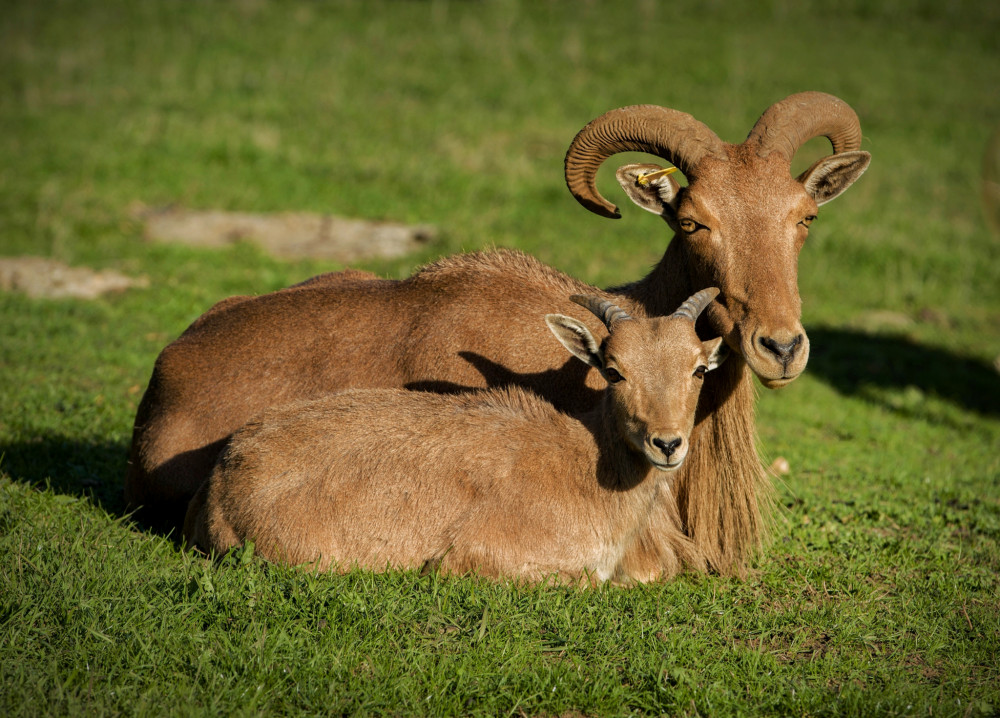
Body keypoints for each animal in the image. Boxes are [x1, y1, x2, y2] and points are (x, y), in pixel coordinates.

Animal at [182, 290, 728, 584]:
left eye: (699, 369)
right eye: (613, 371)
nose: (667, 444)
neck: (584, 466)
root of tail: (220, 480)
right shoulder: (485, 556)